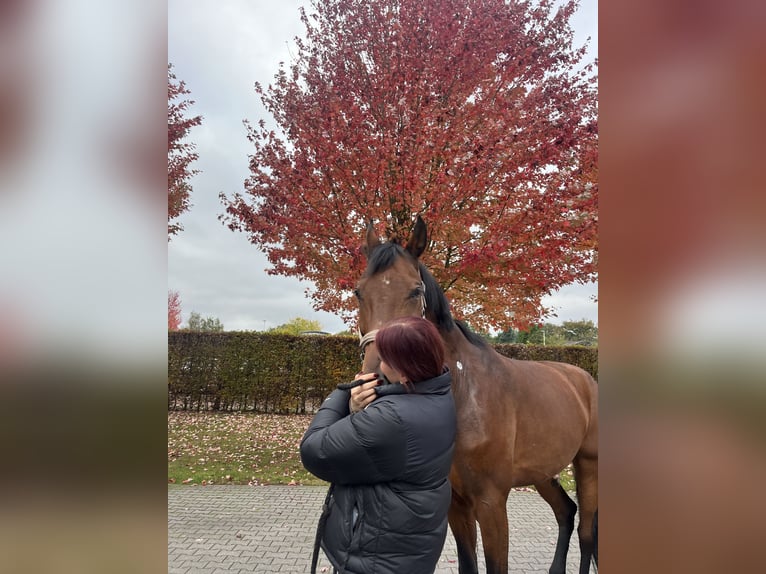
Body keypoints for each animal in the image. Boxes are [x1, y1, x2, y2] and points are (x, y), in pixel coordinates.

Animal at [354, 217, 600, 574]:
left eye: (416, 291)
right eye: (359, 291)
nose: (378, 379)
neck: (464, 395)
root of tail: (585, 380)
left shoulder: (491, 502)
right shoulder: (455, 503)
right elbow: (468, 563)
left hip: (588, 466)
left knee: (586, 532)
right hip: (543, 472)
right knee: (566, 511)